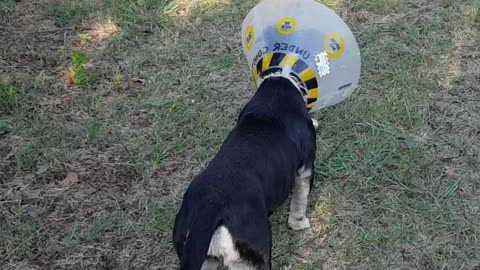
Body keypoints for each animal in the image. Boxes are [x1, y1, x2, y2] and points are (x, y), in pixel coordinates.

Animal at [172, 74, 316, 270]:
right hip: (253, 258)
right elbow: (300, 201)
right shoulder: (305, 169)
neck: (277, 88)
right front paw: (300, 223)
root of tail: (209, 209)